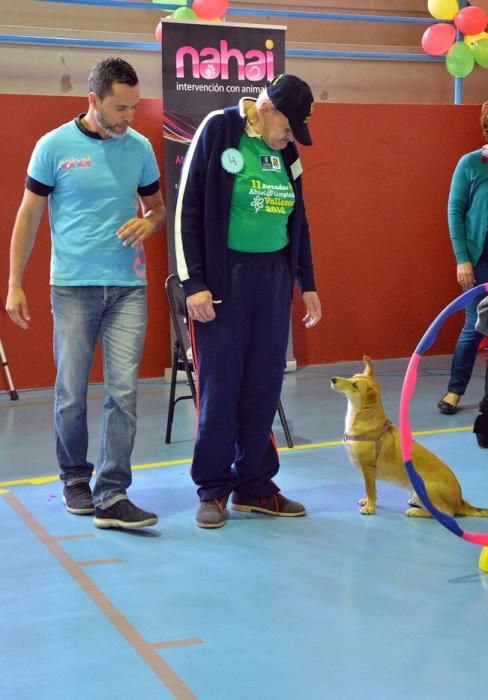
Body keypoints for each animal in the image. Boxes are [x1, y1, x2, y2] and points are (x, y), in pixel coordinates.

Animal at [330, 358, 488, 516]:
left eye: (355, 385)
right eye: (352, 377)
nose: (333, 379)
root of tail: (460, 502)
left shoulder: (367, 468)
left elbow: (370, 490)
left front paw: (370, 507)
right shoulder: (371, 473)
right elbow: (374, 490)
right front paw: (368, 501)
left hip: (424, 489)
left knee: (445, 513)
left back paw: (415, 512)